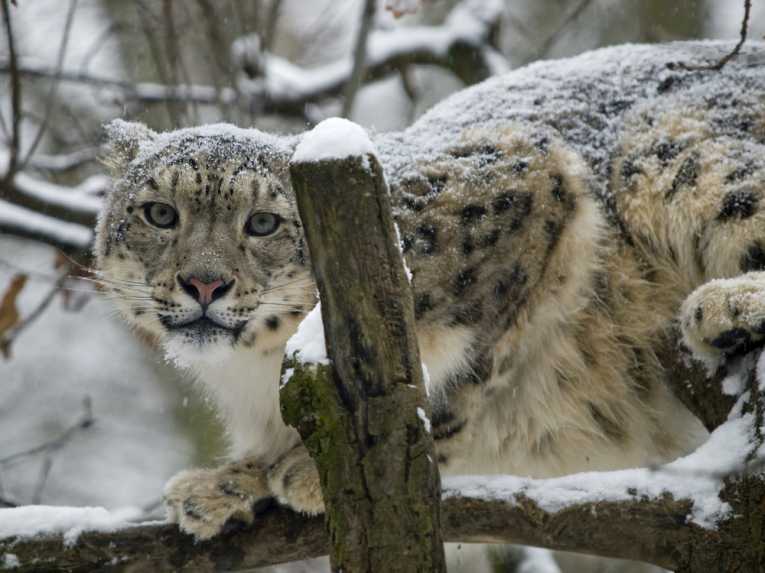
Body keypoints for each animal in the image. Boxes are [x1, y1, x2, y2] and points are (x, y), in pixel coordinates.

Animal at [95, 41, 765, 543]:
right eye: (159, 213)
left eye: (262, 223)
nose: (204, 282)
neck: (255, 375)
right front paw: (222, 486)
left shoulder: (530, 183)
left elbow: (473, 365)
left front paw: (314, 470)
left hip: (669, 148)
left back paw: (724, 306)